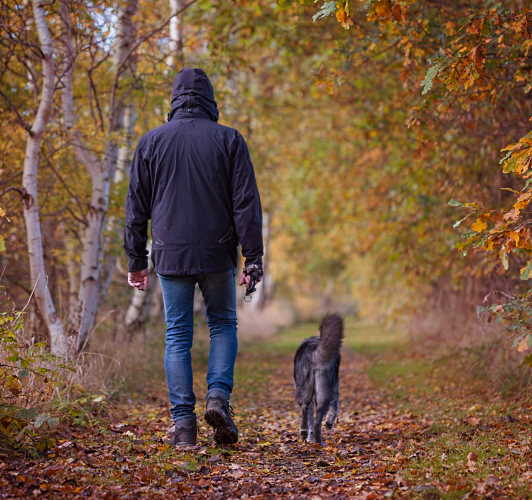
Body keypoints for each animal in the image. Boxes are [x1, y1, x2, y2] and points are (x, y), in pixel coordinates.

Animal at [294, 314, 342, 444]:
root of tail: (313, 349)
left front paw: (309, 438)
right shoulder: (335, 386)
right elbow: (335, 405)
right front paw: (329, 422)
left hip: (305, 389)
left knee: (306, 408)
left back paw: (305, 433)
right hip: (324, 390)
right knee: (316, 419)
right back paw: (320, 441)